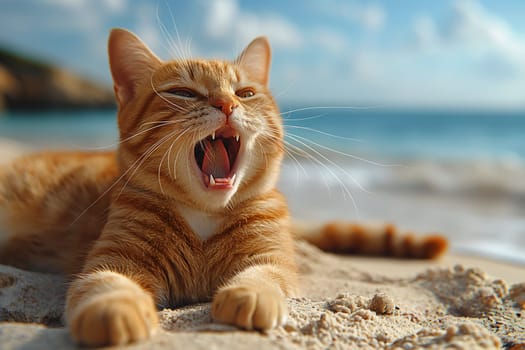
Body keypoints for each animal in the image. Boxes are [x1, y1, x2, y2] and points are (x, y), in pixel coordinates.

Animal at [0, 28, 446, 346]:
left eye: (245, 93)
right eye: (183, 92)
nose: (227, 104)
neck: (204, 214)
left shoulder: (272, 258)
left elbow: (263, 275)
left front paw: (250, 294)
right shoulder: (113, 259)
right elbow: (106, 283)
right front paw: (114, 308)